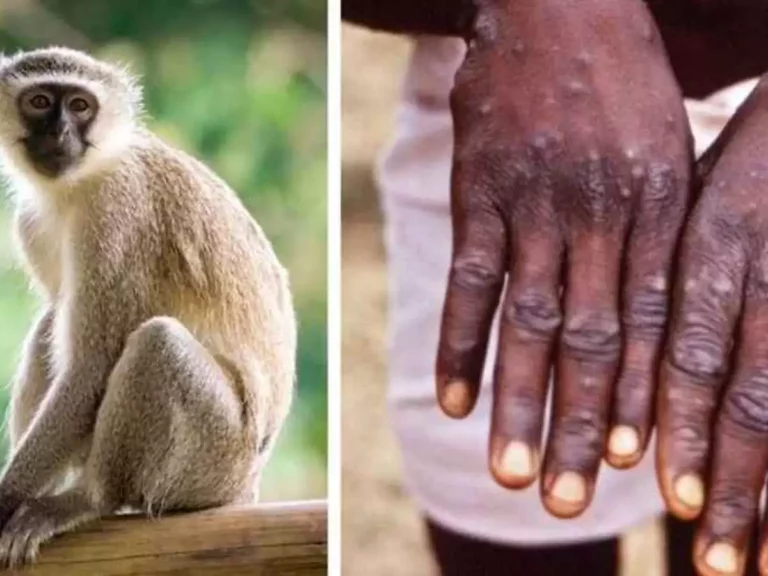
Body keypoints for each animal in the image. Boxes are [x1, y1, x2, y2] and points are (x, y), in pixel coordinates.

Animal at [0, 46, 297, 568]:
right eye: (39, 102)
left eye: (80, 106)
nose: (59, 133)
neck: (79, 183)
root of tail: (246, 486)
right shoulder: (30, 223)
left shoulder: (116, 214)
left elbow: (92, 369)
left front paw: (4, 499)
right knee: (53, 322)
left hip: (213, 457)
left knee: (156, 345)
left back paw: (88, 499)